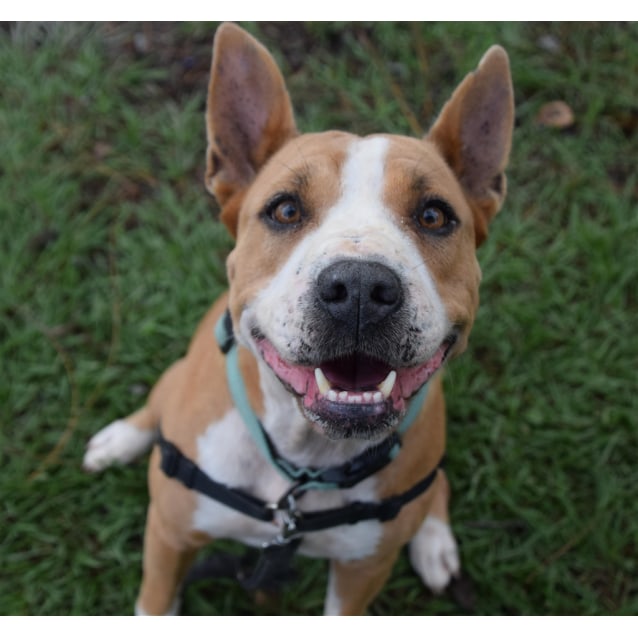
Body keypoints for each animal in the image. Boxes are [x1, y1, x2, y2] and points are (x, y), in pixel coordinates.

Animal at [84, 22, 516, 616]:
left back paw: (433, 541)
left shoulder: (362, 570)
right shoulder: (169, 536)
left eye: (434, 215)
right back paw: (119, 440)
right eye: (285, 209)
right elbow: (155, 605)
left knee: (437, 487)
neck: (303, 463)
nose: (359, 289)